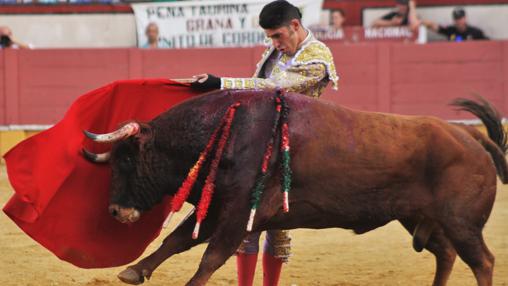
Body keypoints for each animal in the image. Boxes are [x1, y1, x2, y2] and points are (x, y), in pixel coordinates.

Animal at [82, 90, 504, 286]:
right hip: (418, 218)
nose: (115, 212)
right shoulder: (220, 207)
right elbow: (178, 240)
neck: (227, 129)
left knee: (482, 260)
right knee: (446, 254)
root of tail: (471, 137)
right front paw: (134, 270)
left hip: (461, 221)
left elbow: (210, 256)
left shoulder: (238, 213)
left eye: (126, 160)